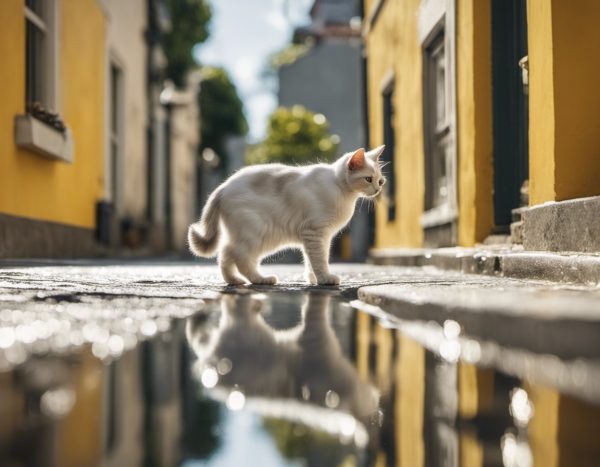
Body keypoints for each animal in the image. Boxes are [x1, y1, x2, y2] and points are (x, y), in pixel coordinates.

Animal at [188, 146, 386, 286]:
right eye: (368, 179)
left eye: (380, 181)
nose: (378, 190)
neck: (339, 188)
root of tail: (223, 187)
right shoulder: (315, 233)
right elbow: (319, 260)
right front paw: (325, 279)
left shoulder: (321, 237)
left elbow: (312, 261)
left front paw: (314, 279)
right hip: (256, 235)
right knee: (239, 257)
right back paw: (261, 279)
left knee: (225, 254)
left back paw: (235, 281)